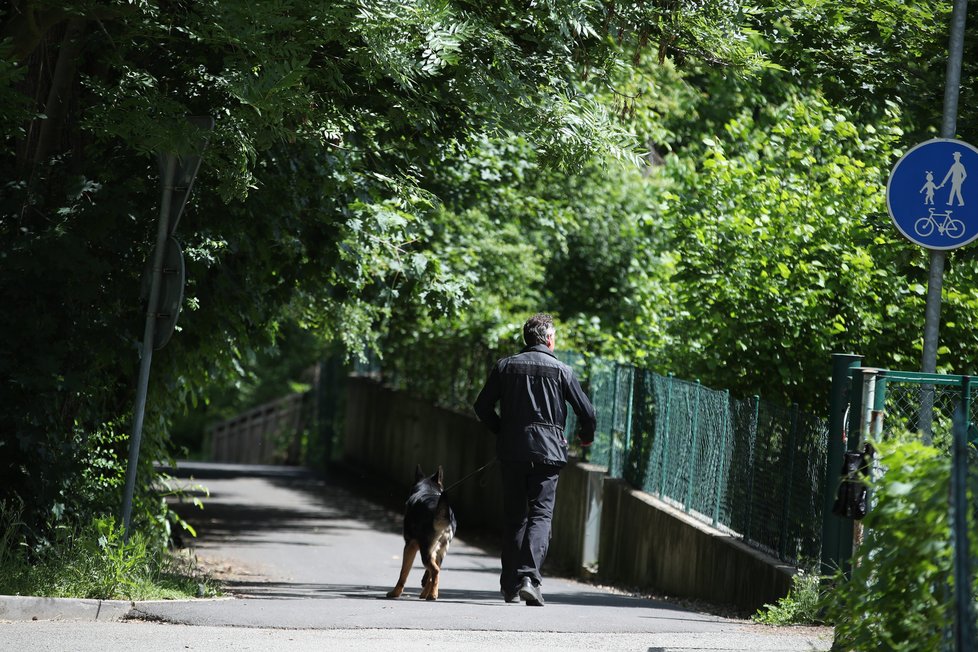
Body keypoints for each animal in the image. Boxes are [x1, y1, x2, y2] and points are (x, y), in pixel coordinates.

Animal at [384, 464, 456, 600]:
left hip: (425, 552)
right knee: (435, 571)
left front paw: (395, 592)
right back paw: (429, 593)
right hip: (439, 551)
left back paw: (433, 594)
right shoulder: (435, 552)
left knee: (435, 571)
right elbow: (428, 576)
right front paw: (424, 590)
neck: (428, 490)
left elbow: (403, 573)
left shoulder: (409, 546)